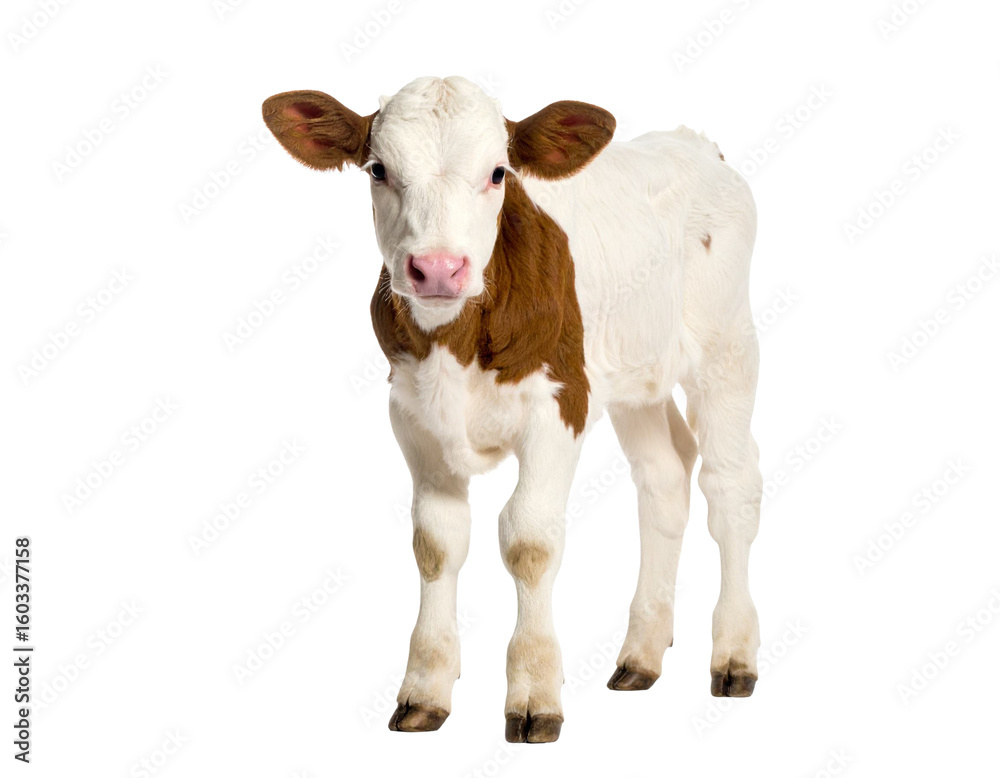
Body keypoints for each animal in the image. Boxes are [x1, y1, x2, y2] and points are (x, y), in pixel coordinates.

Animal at [262, 75, 762, 744]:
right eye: (378, 169)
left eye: (498, 172)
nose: (438, 269)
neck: (456, 342)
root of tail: (695, 143)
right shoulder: (412, 417)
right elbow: (436, 542)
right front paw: (425, 689)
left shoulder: (560, 405)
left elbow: (529, 540)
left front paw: (534, 694)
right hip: (634, 374)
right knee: (664, 477)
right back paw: (641, 656)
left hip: (725, 346)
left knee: (729, 486)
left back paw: (733, 656)